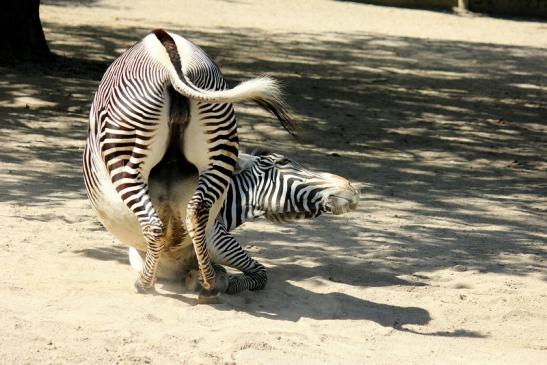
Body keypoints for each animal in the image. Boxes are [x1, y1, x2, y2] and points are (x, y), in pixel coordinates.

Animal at [82, 28, 296, 296]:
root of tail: (169, 61)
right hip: (218, 152)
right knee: (197, 213)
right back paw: (209, 284)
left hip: (128, 161)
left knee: (153, 225)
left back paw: (145, 283)